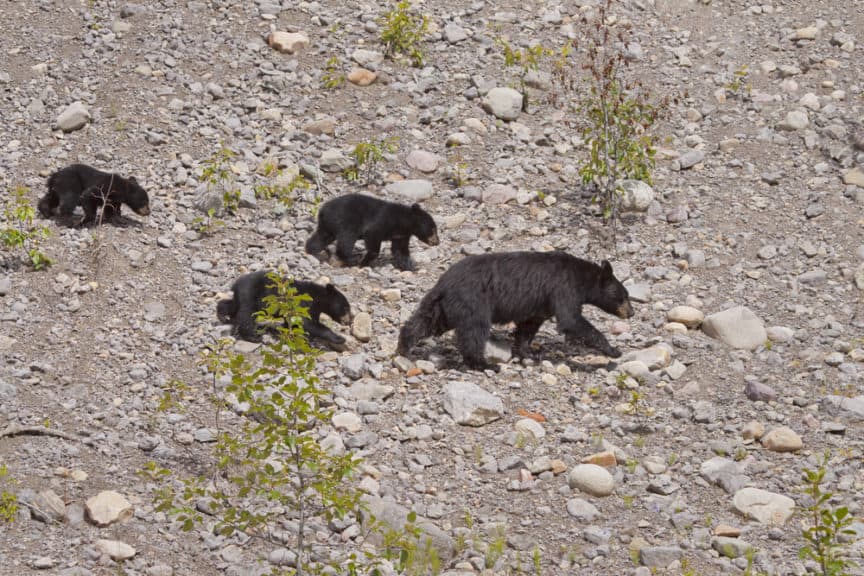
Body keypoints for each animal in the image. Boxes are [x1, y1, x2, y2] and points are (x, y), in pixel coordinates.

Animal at [216, 270, 352, 348]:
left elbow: (294, 323)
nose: (350, 321)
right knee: (246, 314)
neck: (317, 299)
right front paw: (339, 338)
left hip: (242, 296)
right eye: (346, 308)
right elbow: (307, 323)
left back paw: (223, 316)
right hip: (251, 294)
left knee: (233, 306)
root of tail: (236, 283)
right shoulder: (303, 304)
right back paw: (253, 337)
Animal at [304, 193, 439, 271]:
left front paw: (410, 266)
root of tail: (323, 210)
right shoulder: (382, 222)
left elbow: (400, 250)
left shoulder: (401, 235)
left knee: (321, 237)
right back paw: (352, 259)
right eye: (433, 229)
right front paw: (365, 262)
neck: (403, 221)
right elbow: (373, 237)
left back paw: (312, 251)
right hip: (346, 220)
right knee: (346, 239)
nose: (437, 242)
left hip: (328, 225)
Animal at [397, 251, 634, 371]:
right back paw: (483, 364)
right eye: (624, 295)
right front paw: (613, 350)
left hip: (444, 307)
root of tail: (444, 283)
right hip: (474, 301)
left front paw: (528, 352)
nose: (631, 313)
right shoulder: (563, 287)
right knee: (474, 331)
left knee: (425, 321)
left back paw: (404, 346)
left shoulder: (540, 305)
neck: (582, 278)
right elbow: (571, 319)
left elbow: (528, 327)